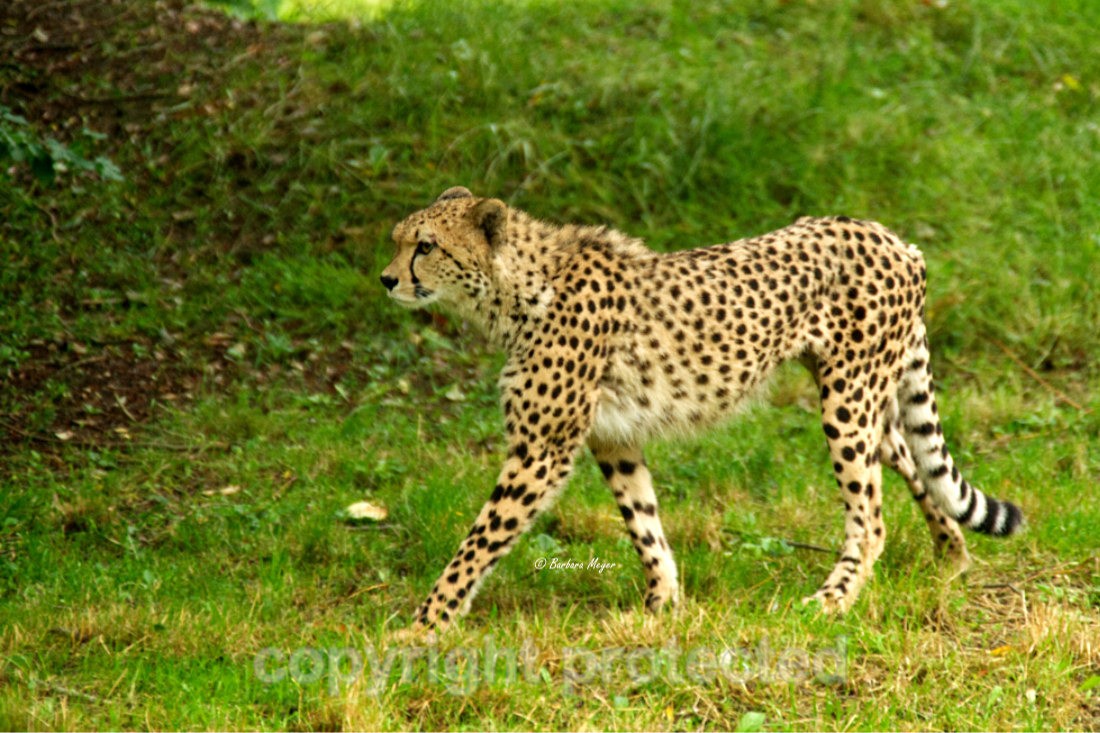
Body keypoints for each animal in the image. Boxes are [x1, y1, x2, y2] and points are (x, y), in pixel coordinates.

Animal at [380, 185, 1023, 635]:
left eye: (426, 246)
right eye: (397, 240)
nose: (387, 280)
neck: (517, 289)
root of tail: (893, 238)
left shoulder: (542, 449)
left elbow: (479, 541)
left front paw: (423, 627)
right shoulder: (614, 438)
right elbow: (644, 522)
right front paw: (661, 605)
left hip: (848, 401)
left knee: (870, 519)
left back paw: (833, 601)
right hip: (863, 392)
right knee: (910, 457)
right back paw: (950, 556)